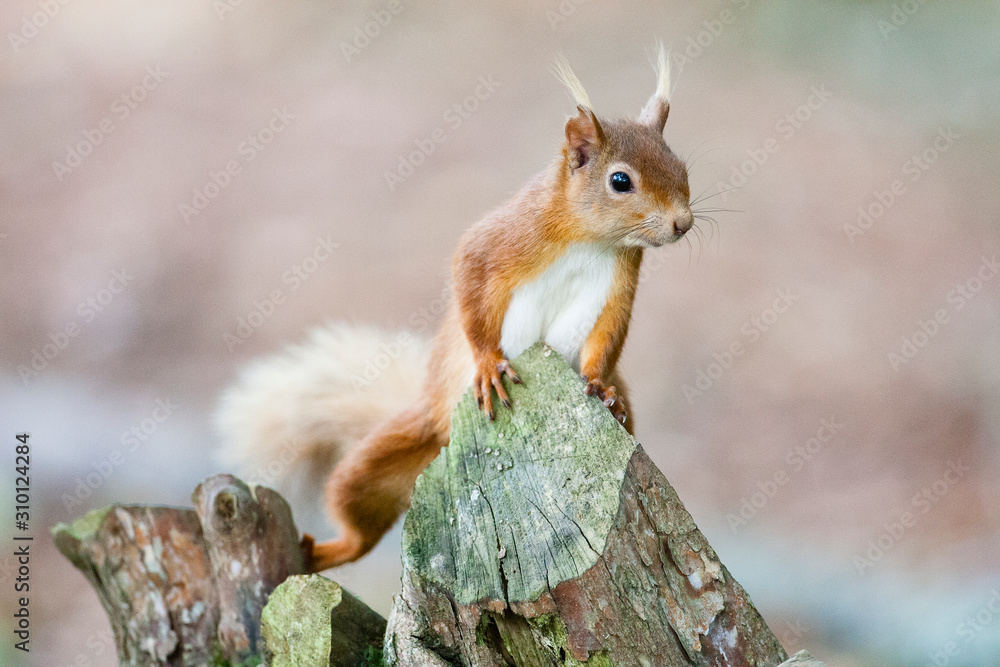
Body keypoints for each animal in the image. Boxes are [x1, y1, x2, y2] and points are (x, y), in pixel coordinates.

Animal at [215, 46, 693, 571]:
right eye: (620, 180)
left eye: (682, 167)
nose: (683, 223)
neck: (593, 241)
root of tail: (443, 435)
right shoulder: (500, 241)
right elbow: (469, 289)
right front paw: (487, 364)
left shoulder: (618, 284)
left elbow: (607, 336)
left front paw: (601, 387)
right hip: (380, 462)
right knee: (358, 522)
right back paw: (323, 551)